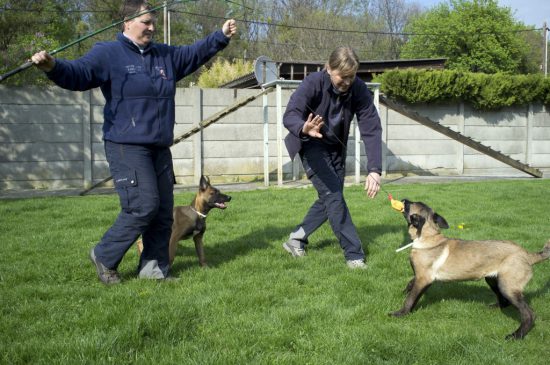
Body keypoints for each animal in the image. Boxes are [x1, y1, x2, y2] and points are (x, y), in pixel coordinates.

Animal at [392, 199, 550, 338]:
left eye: (410, 204)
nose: (404, 199)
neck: (427, 236)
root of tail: (526, 254)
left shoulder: (424, 279)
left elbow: (410, 298)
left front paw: (401, 313)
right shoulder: (420, 276)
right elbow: (410, 284)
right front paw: (405, 292)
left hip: (508, 287)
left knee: (529, 314)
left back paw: (517, 335)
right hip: (493, 280)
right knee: (504, 301)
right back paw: (496, 307)